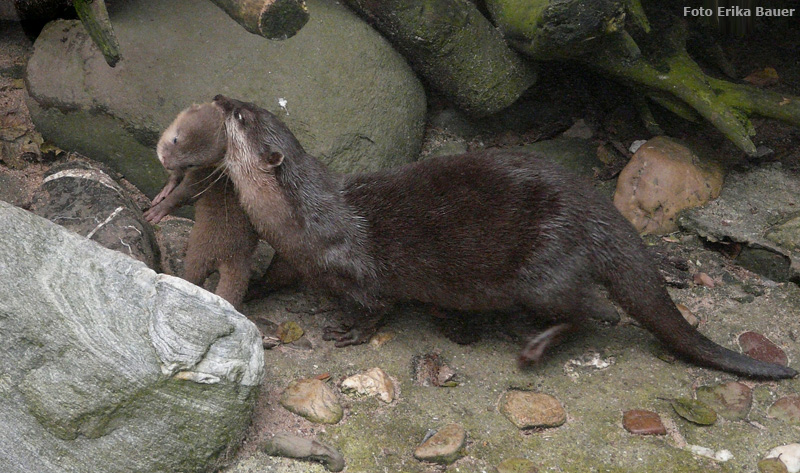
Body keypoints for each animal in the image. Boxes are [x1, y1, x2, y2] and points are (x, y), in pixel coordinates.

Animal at [142, 103, 258, 310]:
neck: (219, 170)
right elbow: (174, 180)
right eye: (176, 139)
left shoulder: (201, 178)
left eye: (192, 163)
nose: (166, 161)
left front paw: (157, 211)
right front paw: (165, 190)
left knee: (193, 274)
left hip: (203, 250)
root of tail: (235, 255)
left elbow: (180, 197)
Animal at [211, 94, 792, 378]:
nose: (217, 95)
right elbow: (273, 276)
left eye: (239, 116)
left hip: (543, 267)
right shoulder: (291, 255)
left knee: (592, 312)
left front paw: (348, 331)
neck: (304, 219)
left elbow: (376, 304)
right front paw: (251, 291)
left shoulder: (353, 264)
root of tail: (599, 213)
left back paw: (533, 347)